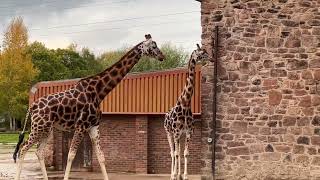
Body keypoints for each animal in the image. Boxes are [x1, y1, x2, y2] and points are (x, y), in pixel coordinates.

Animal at [13, 34, 164, 180]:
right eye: (153, 46)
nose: (162, 56)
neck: (98, 92)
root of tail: (32, 106)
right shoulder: (81, 126)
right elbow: (71, 155)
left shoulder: (94, 126)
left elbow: (101, 157)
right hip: (38, 127)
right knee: (23, 148)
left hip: (46, 129)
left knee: (38, 152)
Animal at [164, 44, 209, 180]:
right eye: (202, 52)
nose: (211, 58)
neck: (185, 104)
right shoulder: (176, 132)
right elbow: (176, 153)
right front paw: (175, 175)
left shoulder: (188, 132)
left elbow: (185, 153)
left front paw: (184, 175)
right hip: (169, 133)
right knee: (172, 152)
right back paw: (172, 174)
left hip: (180, 135)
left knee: (178, 151)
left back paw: (178, 174)